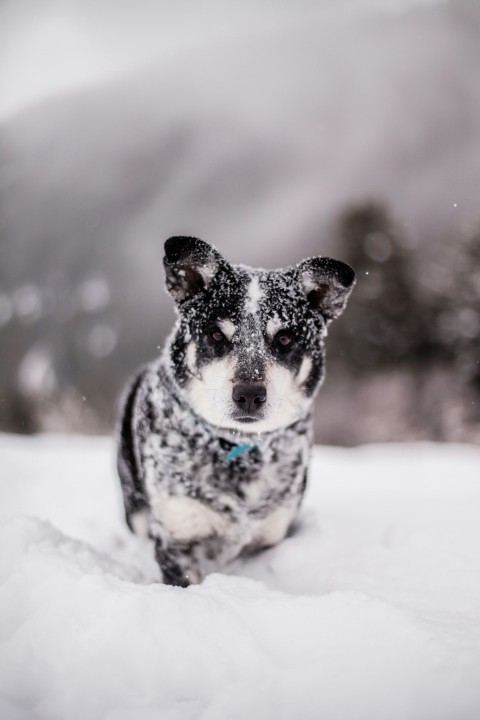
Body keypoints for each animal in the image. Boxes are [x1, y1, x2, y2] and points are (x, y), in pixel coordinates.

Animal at [116, 236, 356, 584]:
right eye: (217, 334)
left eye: (285, 338)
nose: (249, 395)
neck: (236, 447)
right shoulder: (177, 534)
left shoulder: (271, 533)